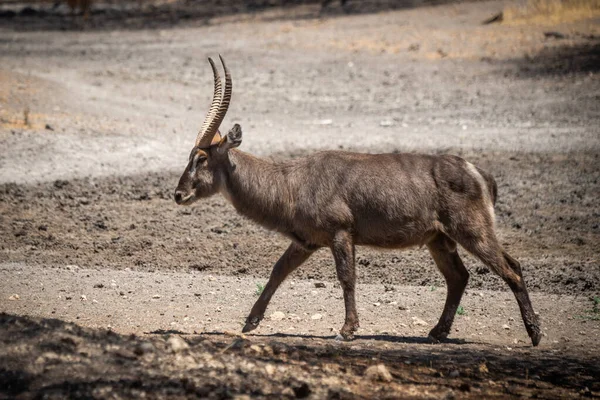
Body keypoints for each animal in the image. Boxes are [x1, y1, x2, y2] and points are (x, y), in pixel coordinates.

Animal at [175, 57, 544, 346]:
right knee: (459, 277)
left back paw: (535, 334)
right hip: (439, 239)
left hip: (471, 232)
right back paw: (437, 333)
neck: (291, 181)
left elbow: (347, 277)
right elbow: (278, 271)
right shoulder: (307, 242)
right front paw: (250, 323)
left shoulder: (341, 233)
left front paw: (347, 330)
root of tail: (478, 172)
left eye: (201, 158)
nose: (179, 194)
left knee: (511, 268)